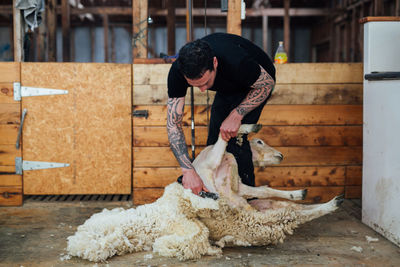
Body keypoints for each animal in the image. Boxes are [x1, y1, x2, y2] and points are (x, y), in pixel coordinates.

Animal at [66, 124, 344, 262]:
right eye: (261, 143)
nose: (281, 155)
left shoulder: (238, 187)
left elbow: (264, 188)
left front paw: (298, 192)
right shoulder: (223, 180)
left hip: (252, 208)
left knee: (290, 209)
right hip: (249, 212)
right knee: (292, 214)